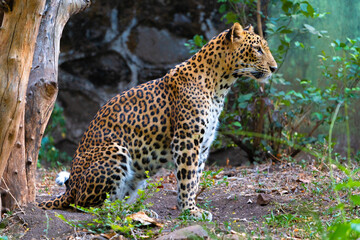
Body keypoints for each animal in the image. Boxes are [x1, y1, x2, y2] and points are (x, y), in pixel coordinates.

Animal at [38, 22, 278, 219]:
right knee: (87, 205)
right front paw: (191, 210)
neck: (220, 86)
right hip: (116, 151)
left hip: (136, 172)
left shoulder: (203, 145)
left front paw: (187, 207)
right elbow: (188, 178)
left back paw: (140, 211)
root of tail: (70, 188)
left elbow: (195, 178)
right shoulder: (186, 141)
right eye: (258, 49)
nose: (274, 68)